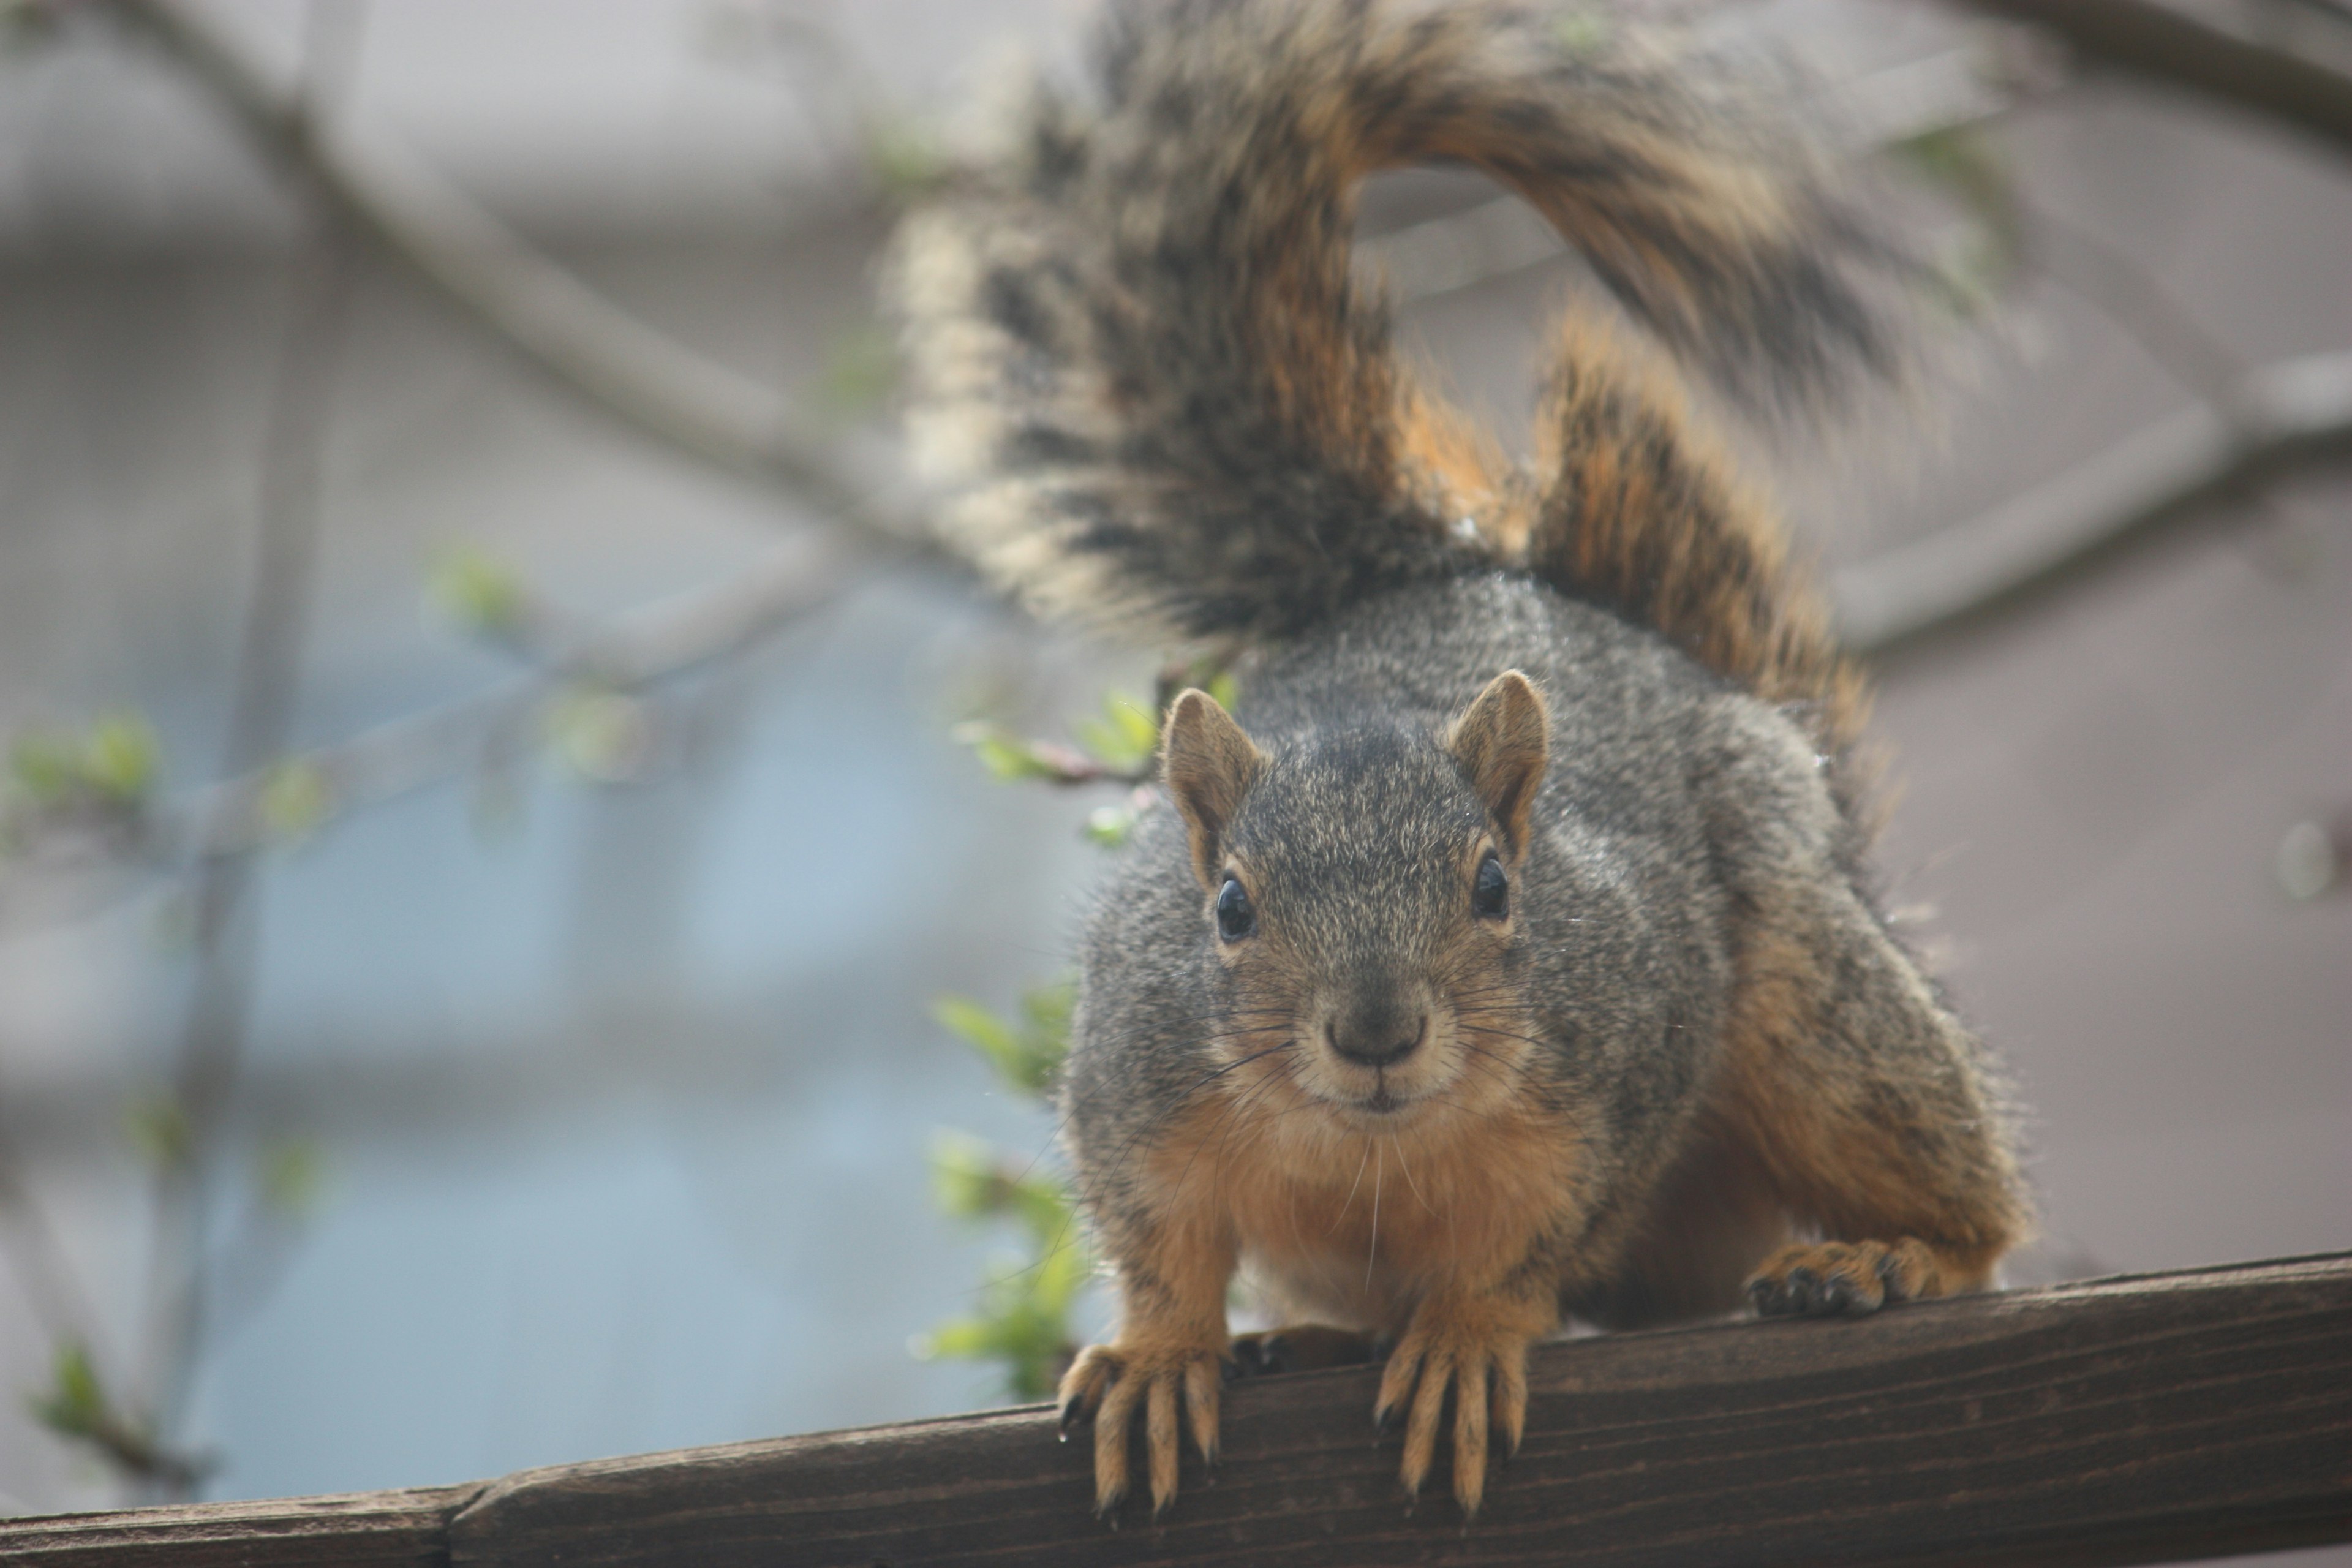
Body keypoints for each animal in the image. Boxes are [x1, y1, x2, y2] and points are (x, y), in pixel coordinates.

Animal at [889, 0, 2032, 1523]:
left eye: (1497, 886)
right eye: (1229, 905)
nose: (1377, 1032)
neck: (1370, 1142)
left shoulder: (1624, 1064)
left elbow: (1530, 1245)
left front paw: (1472, 1333)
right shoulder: (1132, 1083)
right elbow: (1155, 1243)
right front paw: (1161, 1351)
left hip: (1815, 1007)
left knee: (1964, 1185)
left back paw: (1892, 1254)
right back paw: (1320, 1333)